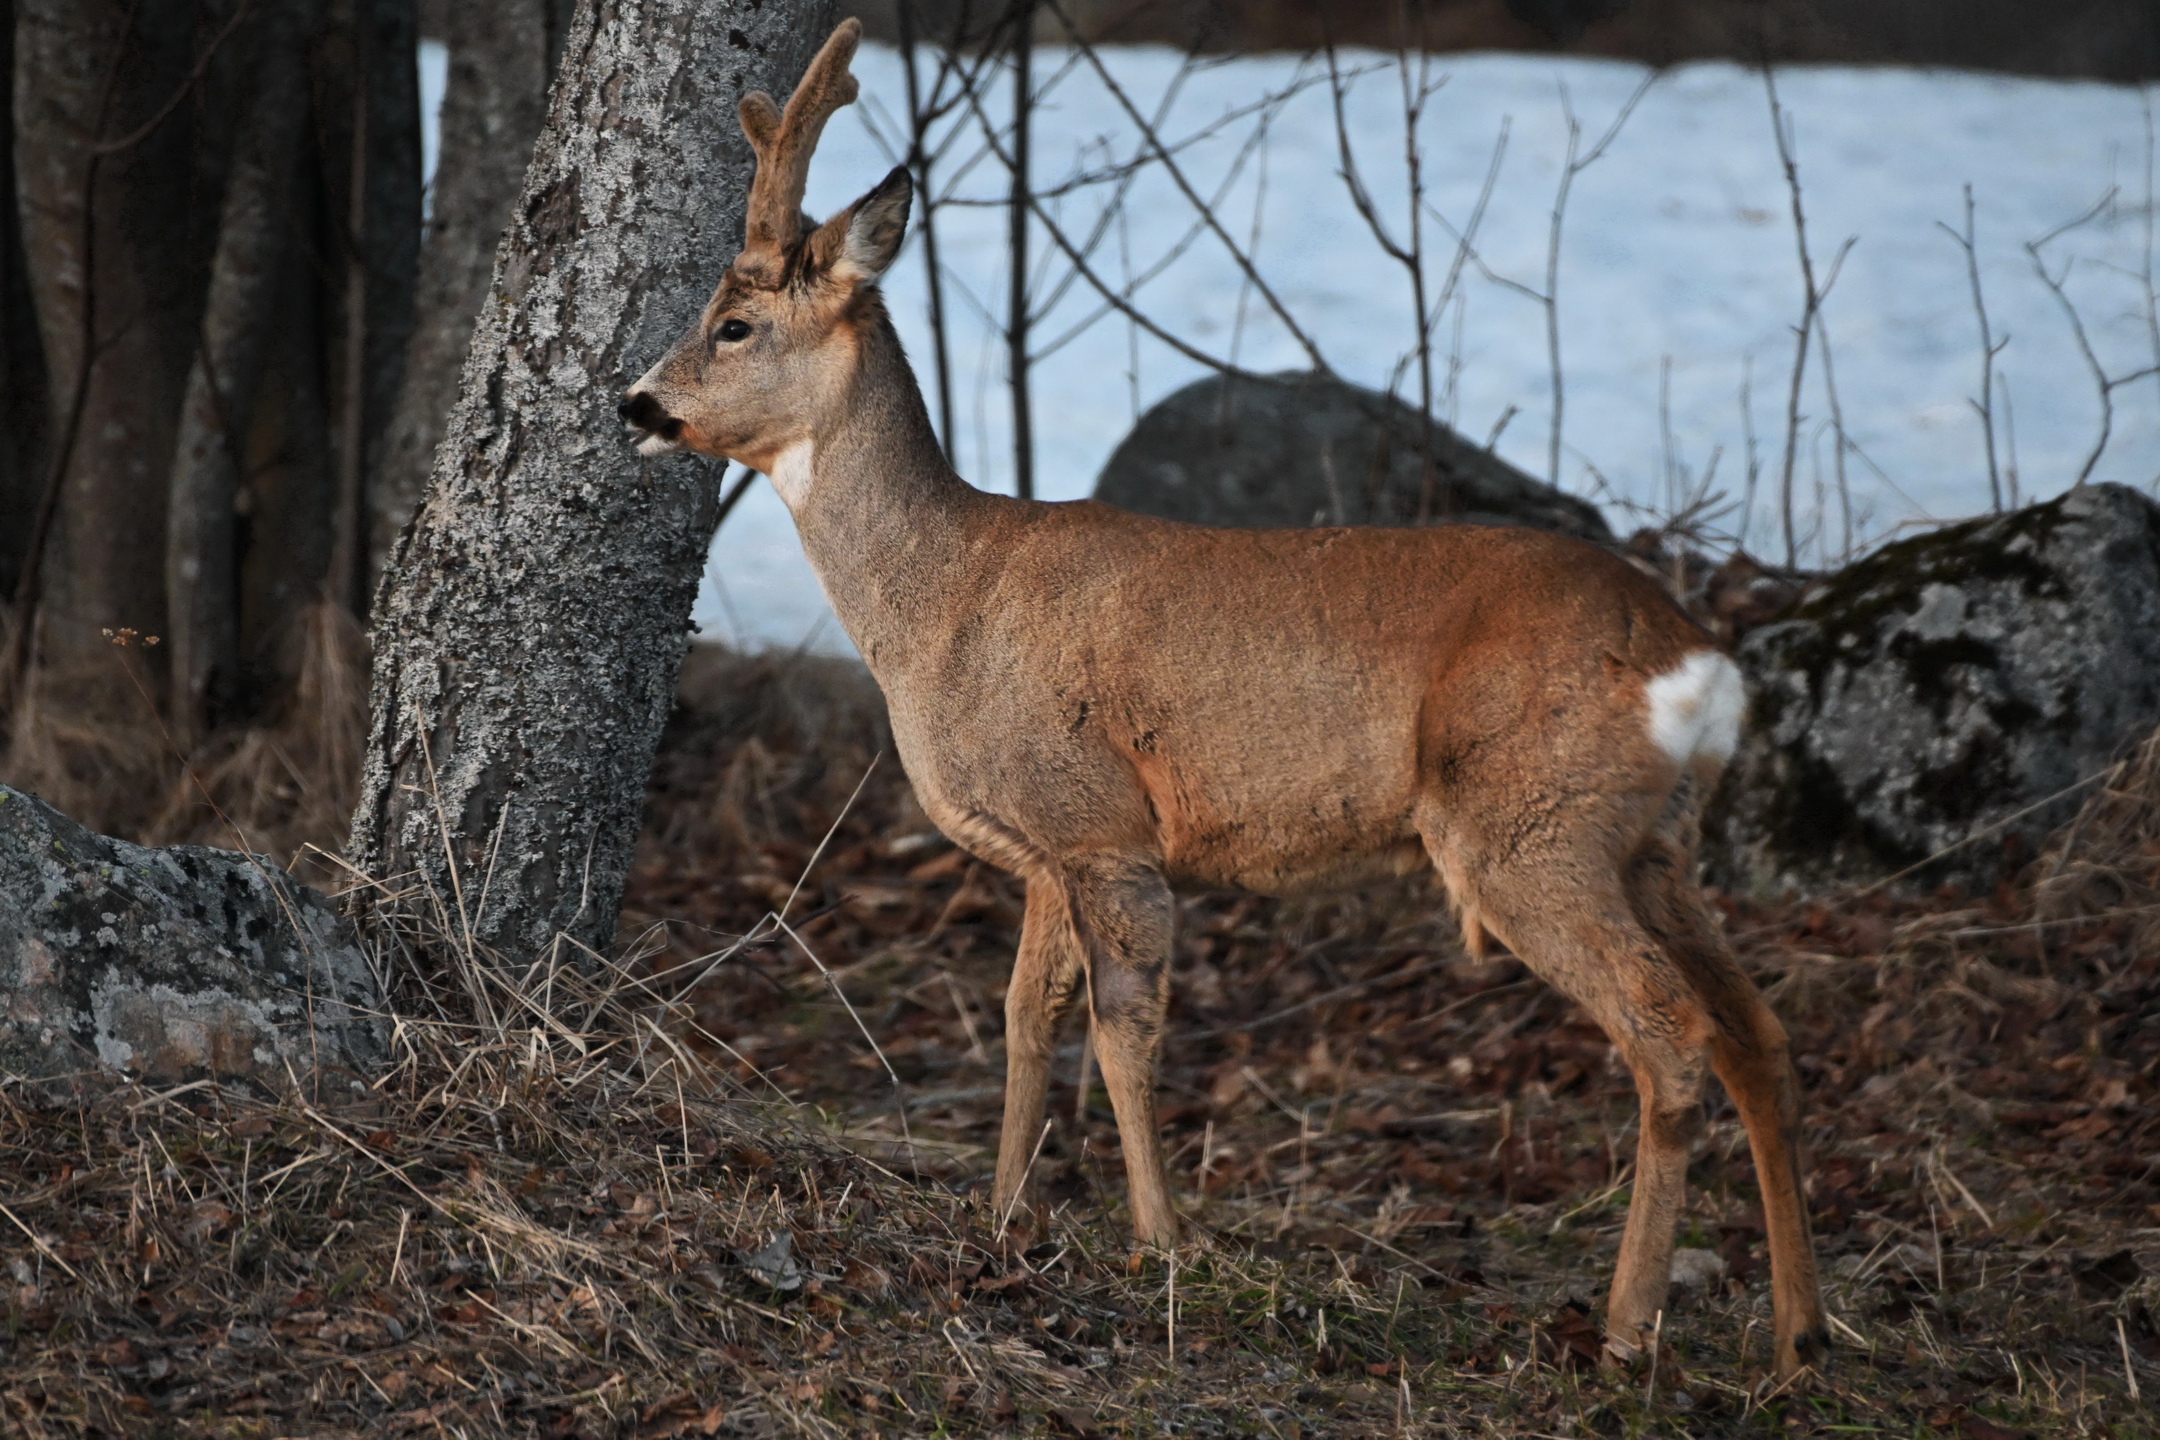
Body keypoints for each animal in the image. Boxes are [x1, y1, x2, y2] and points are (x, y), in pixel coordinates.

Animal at [622, 19, 1823, 1373]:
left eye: (731, 323)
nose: (632, 404)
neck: (943, 600)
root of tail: (1700, 665)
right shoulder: (1046, 846)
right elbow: (1026, 1016)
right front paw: (1002, 1216)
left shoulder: (1101, 823)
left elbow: (1122, 1024)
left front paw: (1161, 1241)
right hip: (1652, 841)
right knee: (1761, 1036)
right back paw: (1799, 1336)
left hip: (1530, 828)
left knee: (1670, 1033)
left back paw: (1625, 1330)